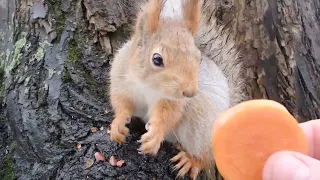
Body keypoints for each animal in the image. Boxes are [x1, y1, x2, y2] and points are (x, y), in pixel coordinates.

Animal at [107, 0, 245, 179]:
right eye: (157, 59)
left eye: (199, 59)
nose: (190, 93)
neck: (148, 86)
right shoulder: (121, 79)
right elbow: (122, 103)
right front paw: (118, 123)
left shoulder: (173, 101)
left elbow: (168, 116)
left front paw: (155, 134)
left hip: (201, 121)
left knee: (206, 156)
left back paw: (191, 161)